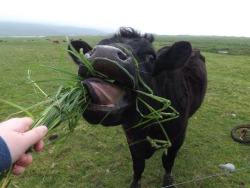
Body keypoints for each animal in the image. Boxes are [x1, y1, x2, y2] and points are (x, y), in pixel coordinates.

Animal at [67, 27, 206, 187]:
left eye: (151, 57)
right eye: (97, 47)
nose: (105, 53)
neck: (148, 127)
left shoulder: (178, 136)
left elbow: (168, 162)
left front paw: (168, 180)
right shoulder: (132, 137)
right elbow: (138, 165)